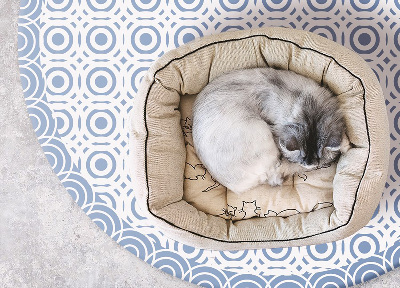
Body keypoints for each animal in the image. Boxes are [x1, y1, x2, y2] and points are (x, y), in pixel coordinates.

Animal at [192, 66, 348, 195]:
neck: (306, 104)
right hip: (261, 132)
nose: (310, 165)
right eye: (304, 160)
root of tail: (237, 187)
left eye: (318, 159)